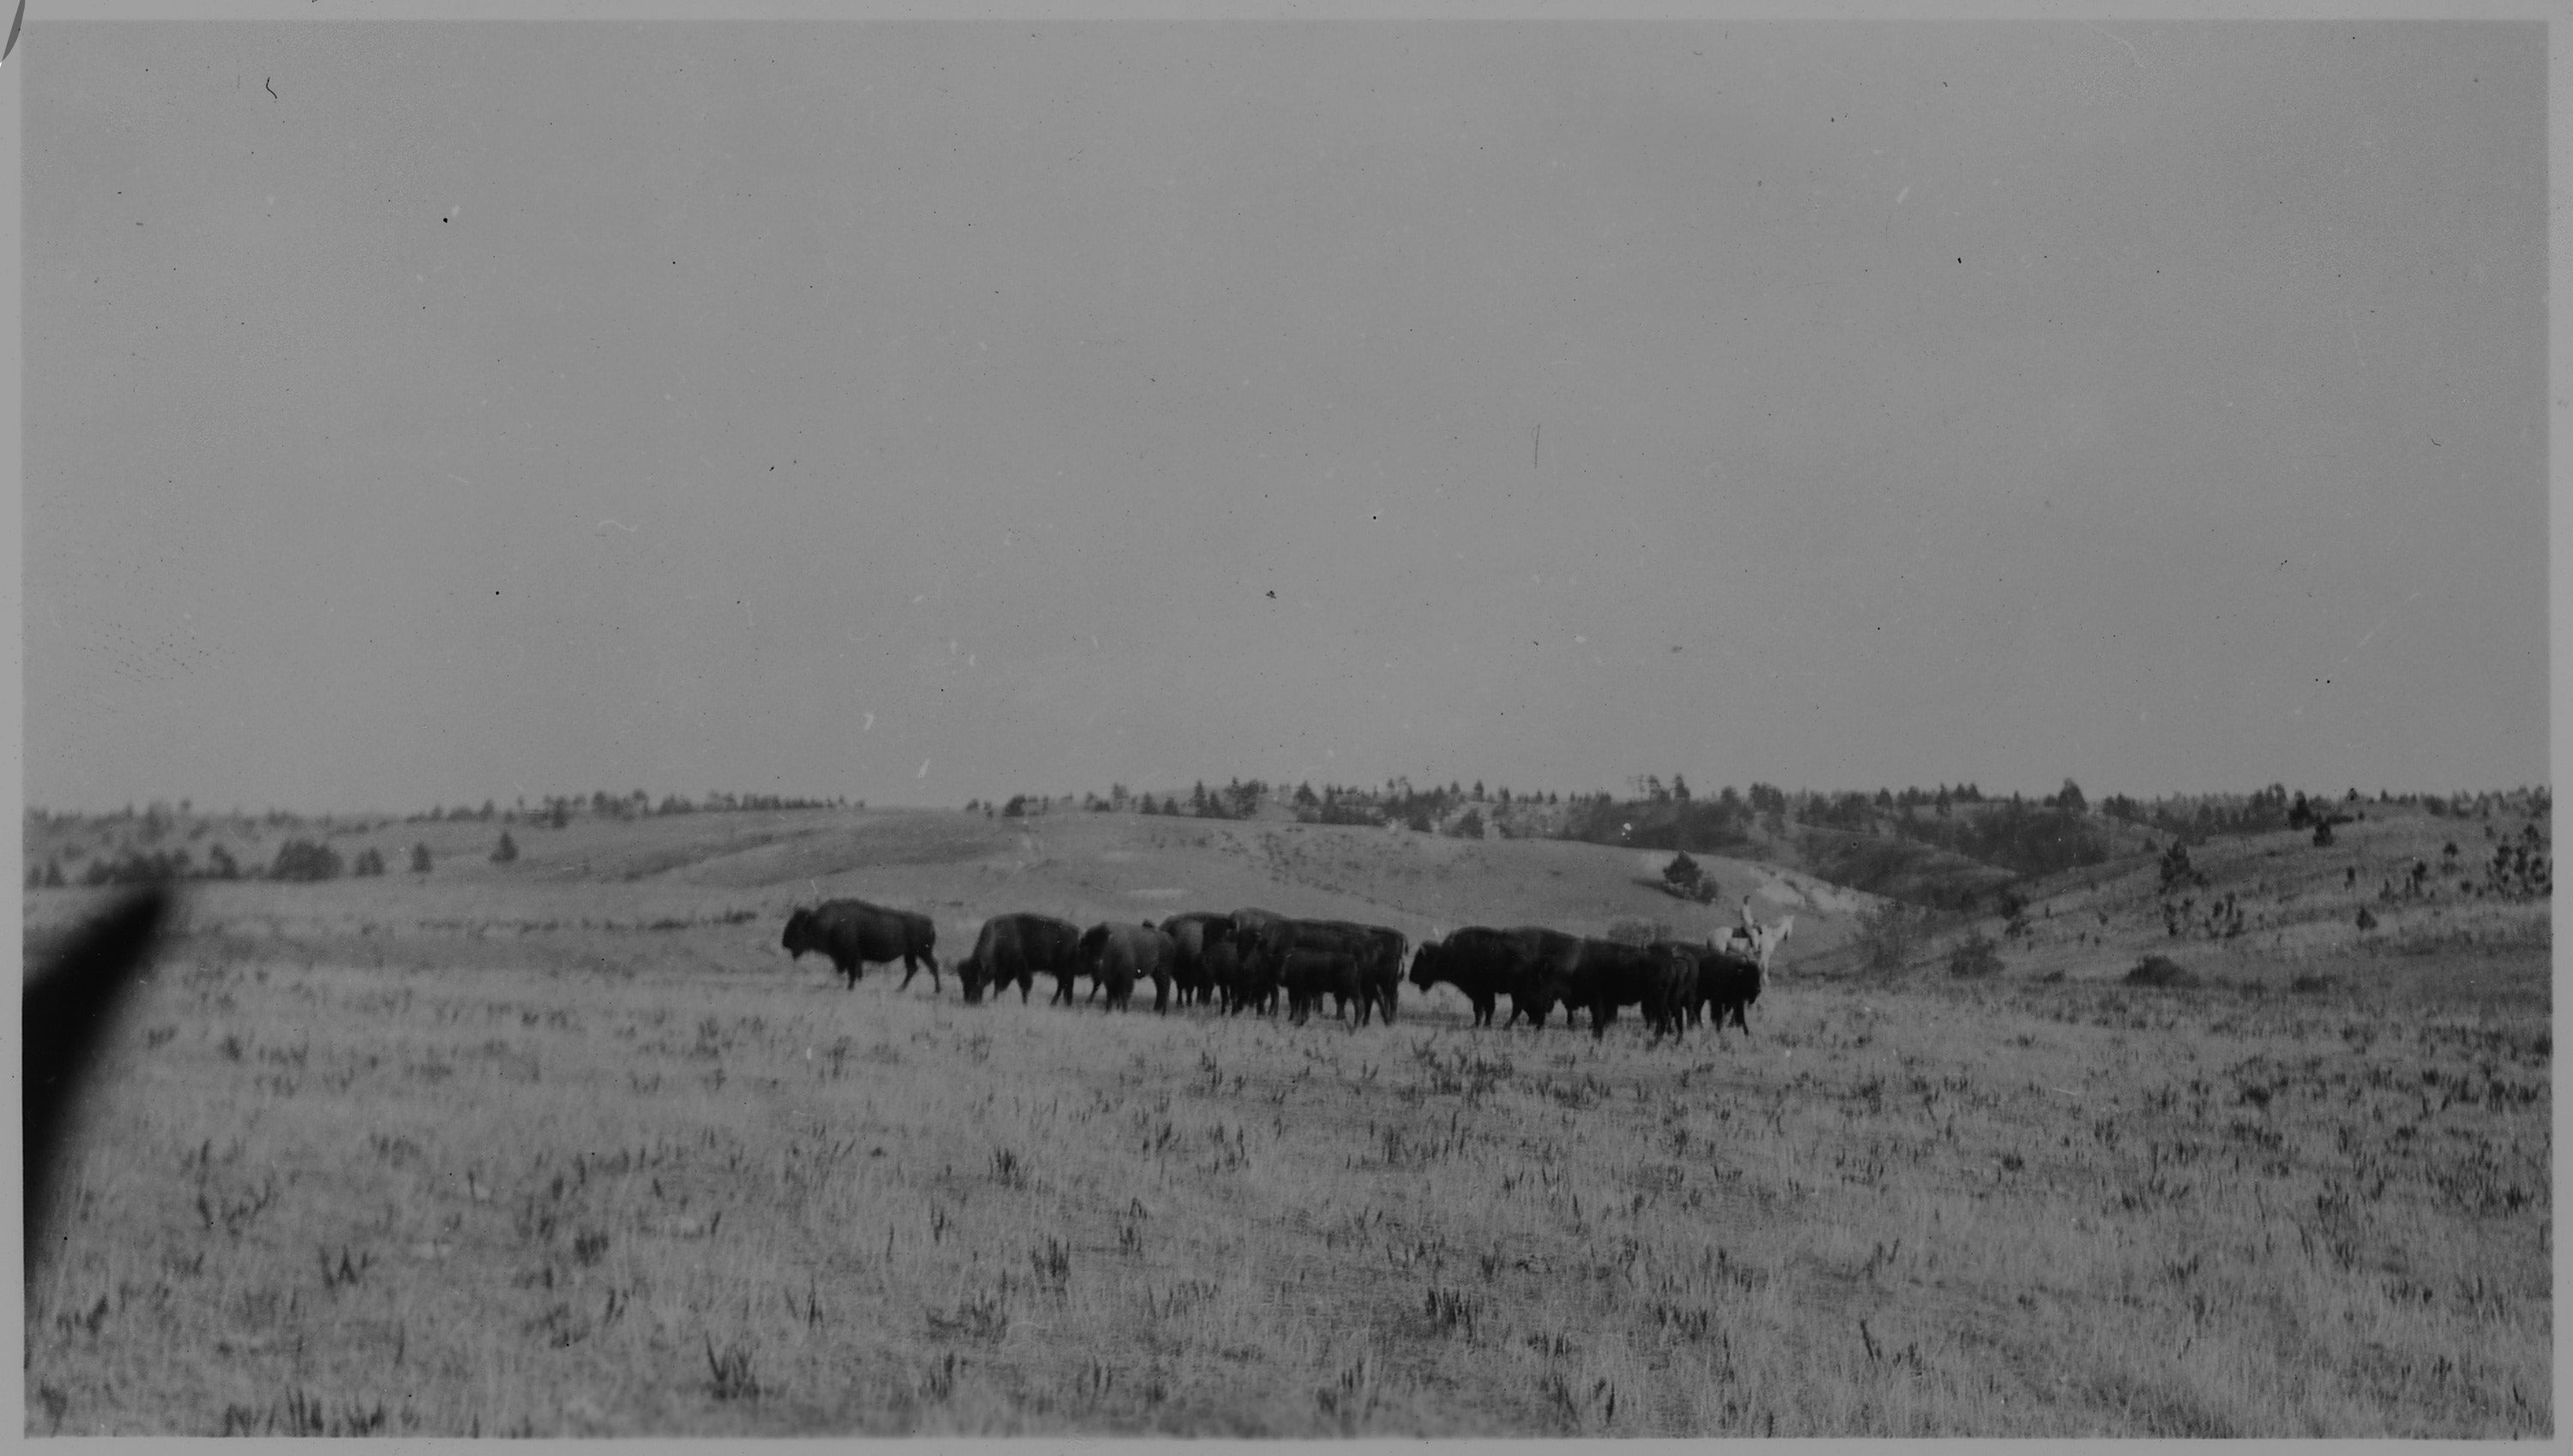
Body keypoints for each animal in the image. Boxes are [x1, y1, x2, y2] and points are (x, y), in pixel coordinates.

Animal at [782, 899, 942, 991]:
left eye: (796, 927)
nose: (784, 943)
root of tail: (930, 923)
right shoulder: (851, 957)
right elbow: (853, 972)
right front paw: (852, 985)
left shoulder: (851, 956)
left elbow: (853, 972)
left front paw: (851, 987)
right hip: (910, 954)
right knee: (912, 969)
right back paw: (900, 989)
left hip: (922, 952)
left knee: (932, 966)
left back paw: (937, 990)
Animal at [955, 913, 1084, 1005]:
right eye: (963, 980)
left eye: (976, 979)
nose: (970, 1000)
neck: (999, 938)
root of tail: (1077, 932)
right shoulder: (1002, 971)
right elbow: (998, 986)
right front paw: (995, 999)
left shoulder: (1021, 968)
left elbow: (1024, 985)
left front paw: (1024, 1003)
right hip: (1061, 970)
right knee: (1065, 985)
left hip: (1062, 969)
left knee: (1063, 985)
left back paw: (1055, 1003)